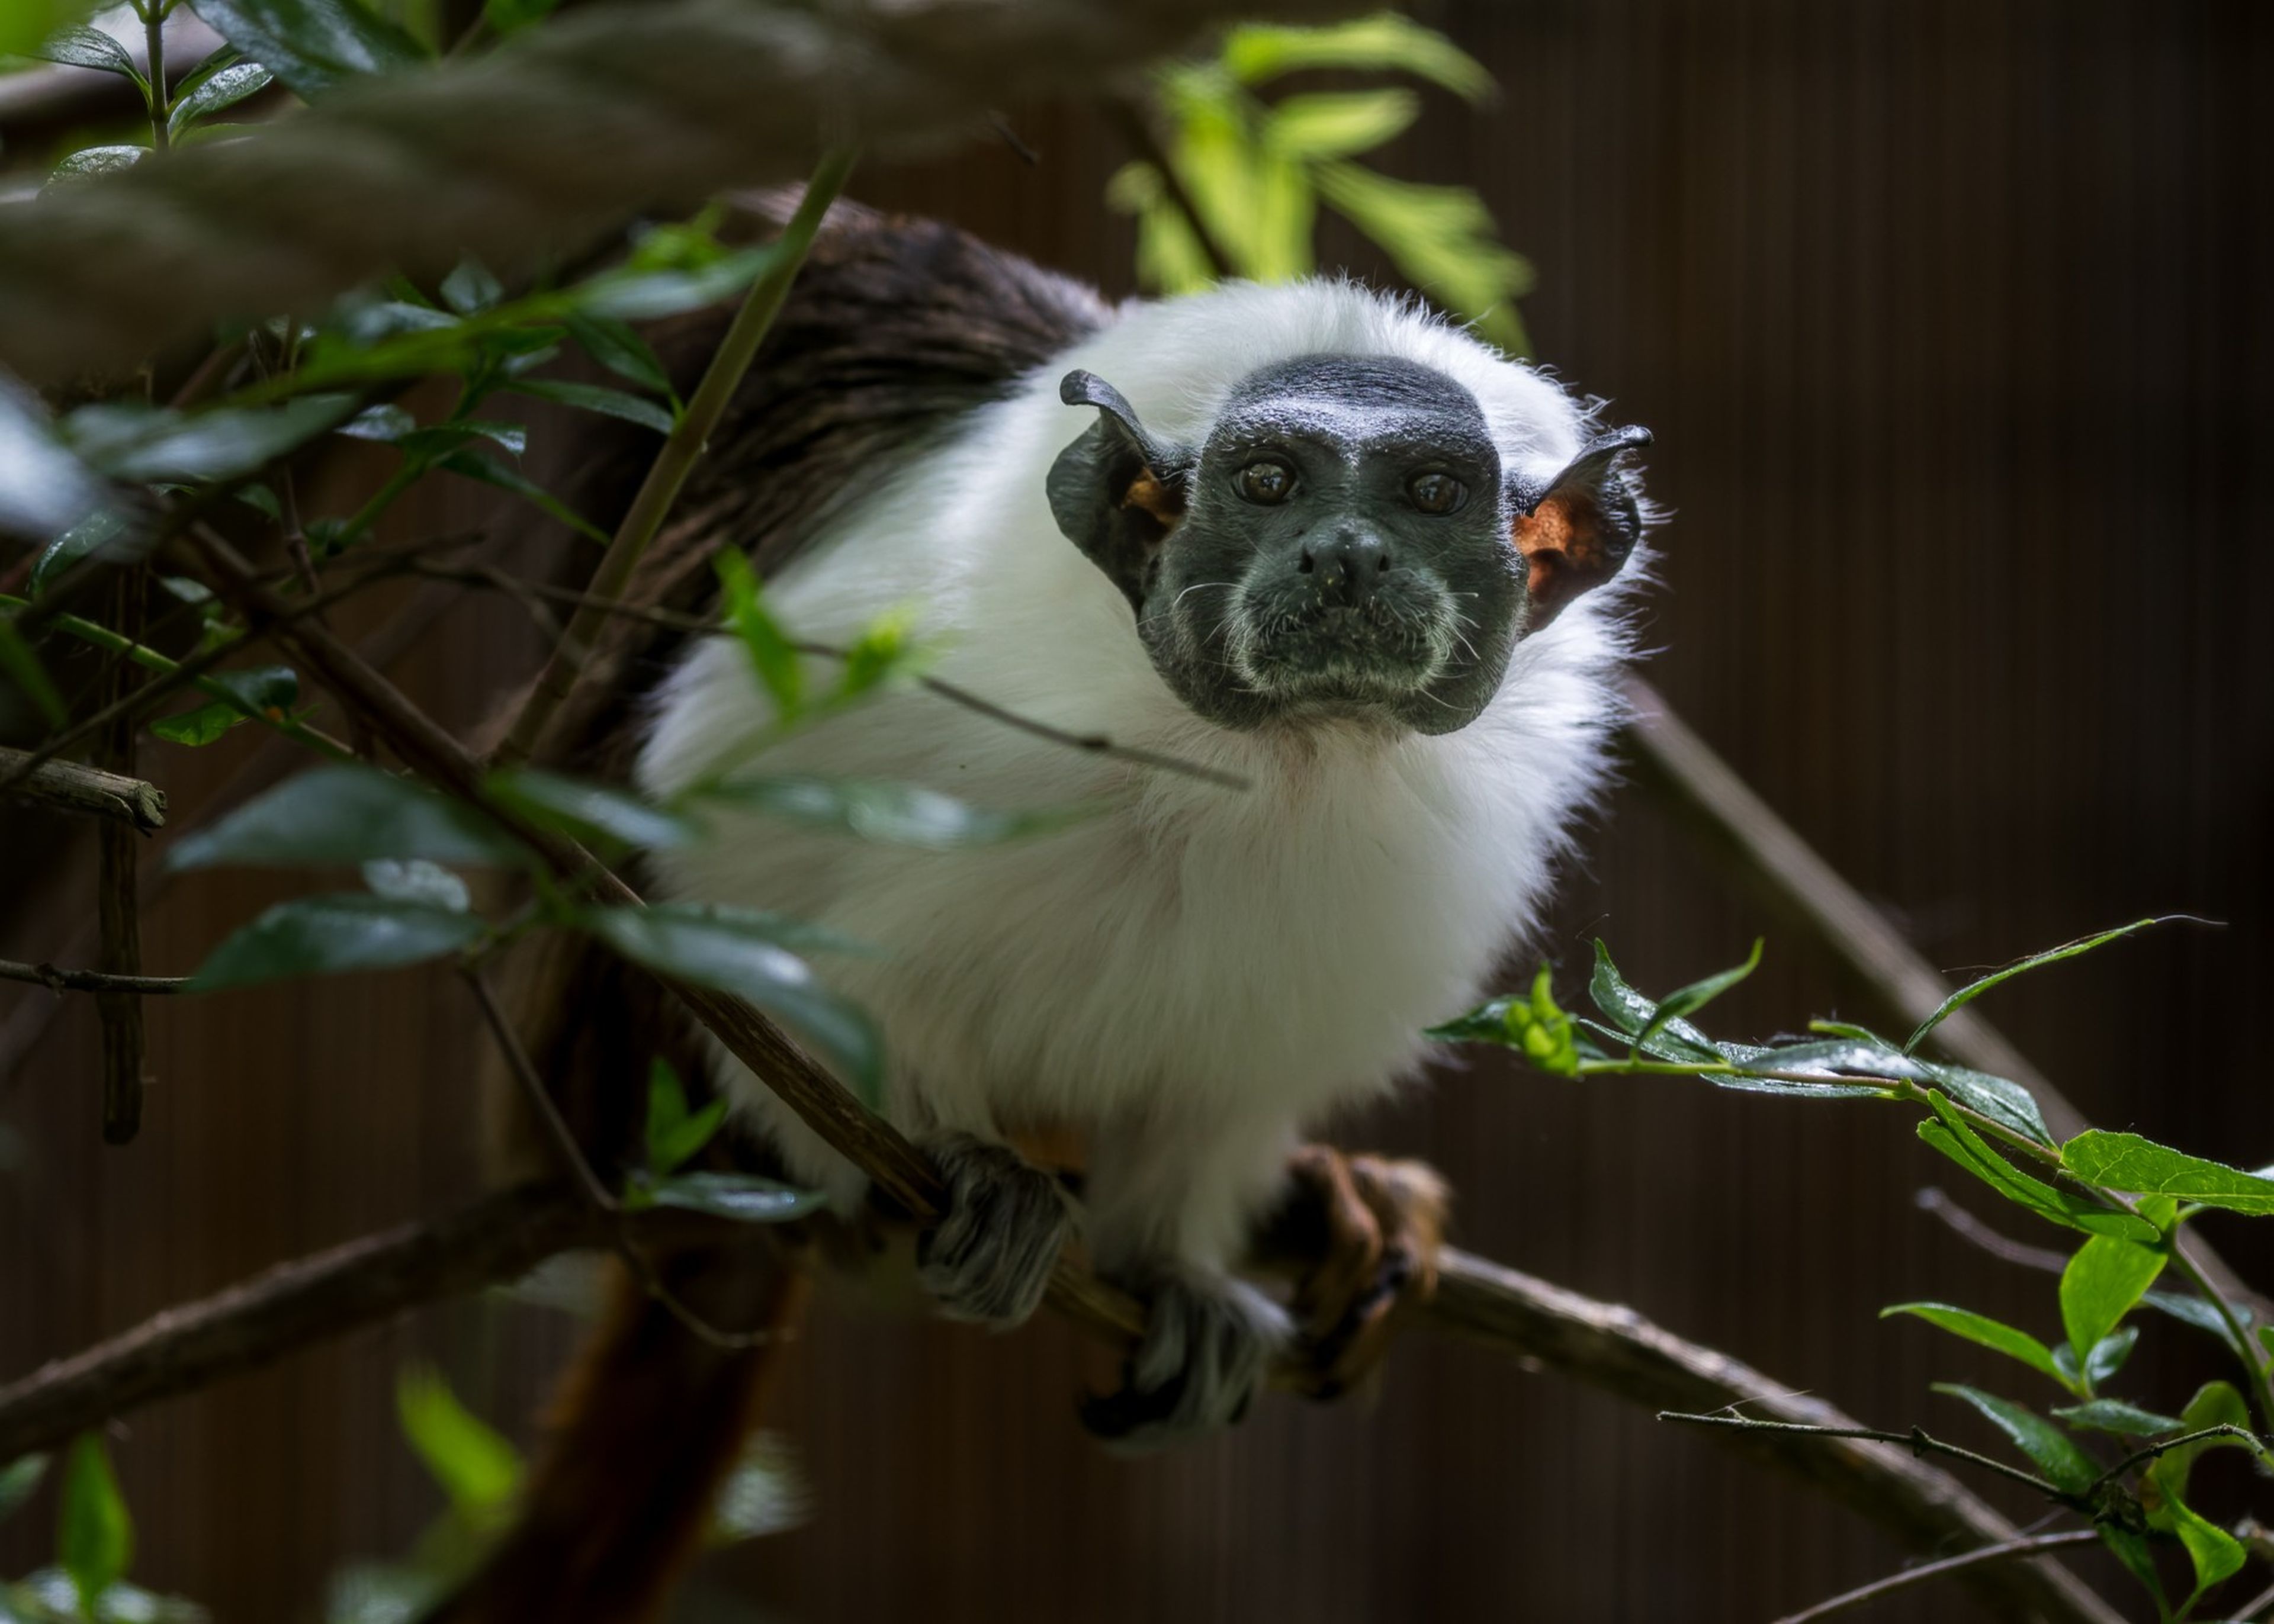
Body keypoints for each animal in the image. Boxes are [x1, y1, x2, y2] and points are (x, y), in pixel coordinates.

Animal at [435, 196, 1650, 1620]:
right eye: (1270, 482)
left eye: (1431, 494)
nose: (1348, 555)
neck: (1273, 758)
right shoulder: (886, 682)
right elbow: (720, 872)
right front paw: (954, 1160)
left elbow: (1222, 1097)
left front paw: (1180, 1270)